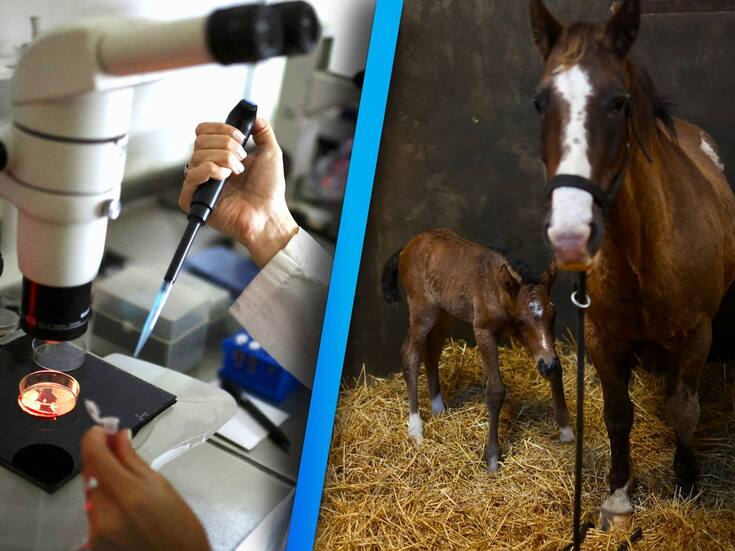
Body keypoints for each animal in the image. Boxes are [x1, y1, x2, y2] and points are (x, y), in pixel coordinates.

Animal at [382, 229, 572, 473]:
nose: (547, 365)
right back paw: (415, 427)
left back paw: (438, 407)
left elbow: (557, 369)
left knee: (432, 350)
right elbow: (495, 390)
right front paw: (492, 458)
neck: (499, 290)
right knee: (410, 353)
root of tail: (407, 247)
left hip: (445, 312)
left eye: (553, 316)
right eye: (521, 321)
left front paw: (566, 430)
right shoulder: (484, 330)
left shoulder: (527, 338)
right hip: (423, 309)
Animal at [529, 0, 735, 530]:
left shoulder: (698, 334)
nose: (570, 231)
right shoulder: (602, 337)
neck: (642, 258)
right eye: (540, 102)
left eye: (618, 102)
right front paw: (619, 495)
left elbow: (684, 410)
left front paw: (687, 481)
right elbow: (617, 414)